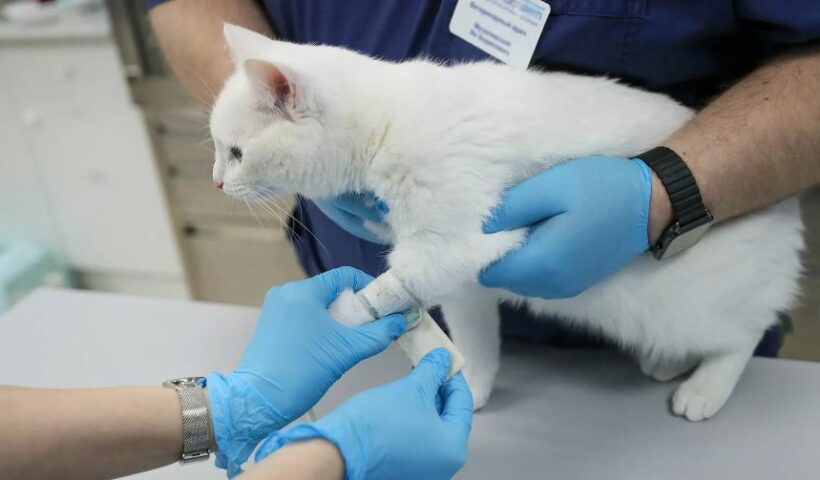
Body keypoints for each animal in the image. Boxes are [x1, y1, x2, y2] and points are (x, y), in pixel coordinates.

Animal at [210, 24, 804, 421]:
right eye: (218, 150)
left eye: (236, 153)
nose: (215, 182)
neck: (389, 122)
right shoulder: (465, 281)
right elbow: (473, 337)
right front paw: (472, 383)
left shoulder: (453, 247)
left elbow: (375, 293)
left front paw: (323, 327)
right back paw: (666, 363)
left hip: (687, 305)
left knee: (745, 333)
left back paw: (705, 387)